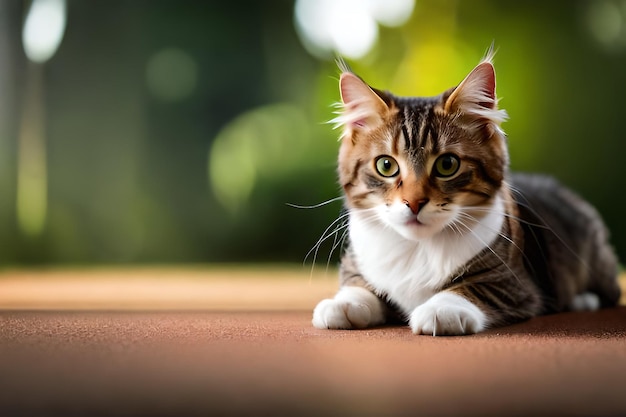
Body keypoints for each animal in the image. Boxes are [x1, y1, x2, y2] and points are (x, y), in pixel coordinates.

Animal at [312, 49, 620, 334]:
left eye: (447, 165)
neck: (419, 247)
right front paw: (343, 303)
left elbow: (472, 288)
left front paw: (441, 308)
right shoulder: (358, 264)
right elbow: (359, 283)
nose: (414, 202)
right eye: (386, 165)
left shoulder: (512, 283)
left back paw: (583, 300)